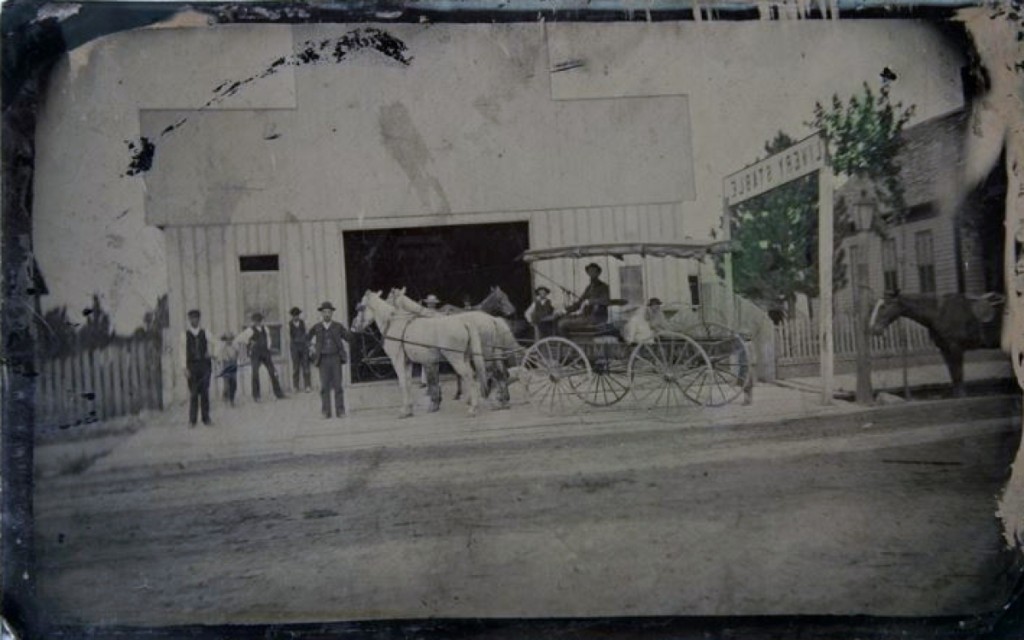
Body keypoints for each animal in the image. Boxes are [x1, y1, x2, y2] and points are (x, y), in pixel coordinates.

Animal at [352, 290, 487, 419]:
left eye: (361, 307)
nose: (354, 326)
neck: (393, 323)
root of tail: (464, 322)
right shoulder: (407, 361)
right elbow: (408, 383)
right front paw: (409, 410)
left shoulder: (397, 360)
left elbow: (402, 383)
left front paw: (404, 411)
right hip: (464, 357)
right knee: (471, 375)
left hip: (455, 359)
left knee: (469, 377)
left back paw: (473, 408)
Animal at [868, 288, 1003, 397]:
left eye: (884, 306)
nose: (873, 329)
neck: (939, 312)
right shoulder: (945, 349)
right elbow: (953, 375)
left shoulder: (956, 348)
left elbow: (958, 374)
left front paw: (961, 395)